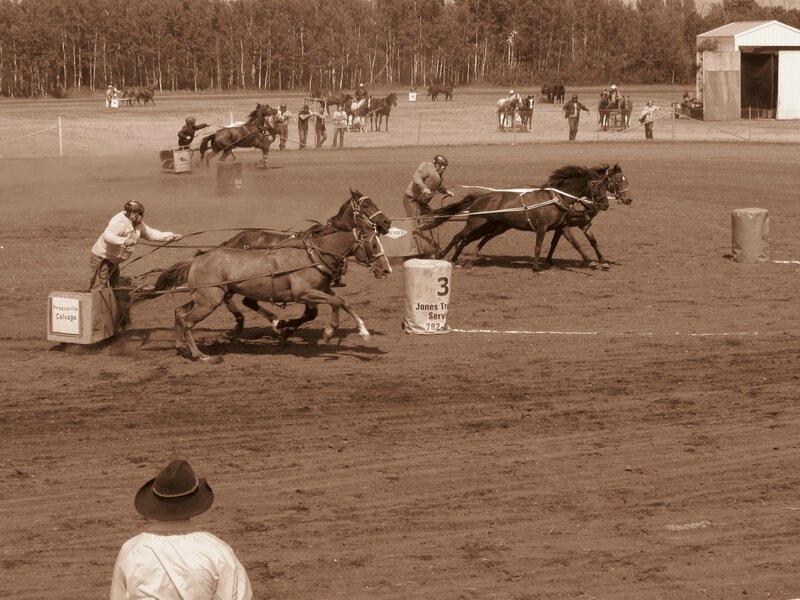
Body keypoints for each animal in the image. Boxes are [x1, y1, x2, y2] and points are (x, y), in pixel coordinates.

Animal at [152, 227, 392, 364]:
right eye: (372, 244)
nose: (386, 270)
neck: (312, 255)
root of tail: (196, 259)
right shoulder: (303, 294)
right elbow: (336, 302)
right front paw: (328, 331)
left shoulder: (322, 290)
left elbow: (343, 302)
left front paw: (363, 331)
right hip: (209, 301)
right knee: (188, 322)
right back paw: (201, 355)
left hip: (203, 298)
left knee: (179, 312)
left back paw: (181, 347)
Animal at [418, 162, 632, 270]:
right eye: (599, 186)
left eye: (607, 185)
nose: (605, 204)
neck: (558, 198)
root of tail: (481, 196)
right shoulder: (544, 227)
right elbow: (540, 245)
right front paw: (537, 266)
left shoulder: (564, 226)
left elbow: (581, 243)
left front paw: (595, 261)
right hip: (476, 222)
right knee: (459, 237)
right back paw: (443, 256)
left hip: (494, 226)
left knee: (474, 240)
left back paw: (464, 260)